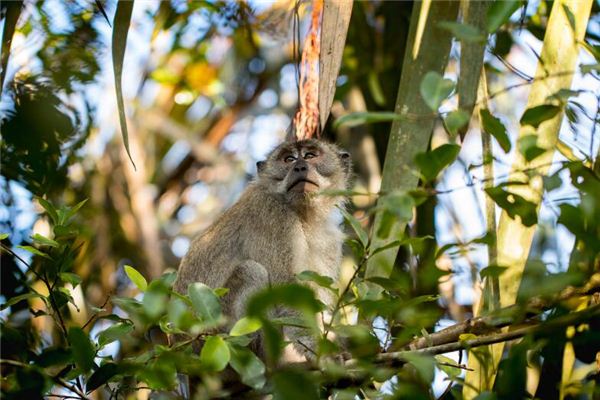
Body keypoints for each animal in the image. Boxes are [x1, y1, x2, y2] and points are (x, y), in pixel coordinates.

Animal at [172, 139, 352, 358]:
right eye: (289, 159)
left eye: (310, 155)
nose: (300, 167)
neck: (303, 213)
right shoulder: (272, 214)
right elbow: (287, 288)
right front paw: (319, 352)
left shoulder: (328, 239)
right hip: (215, 333)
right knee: (251, 271)